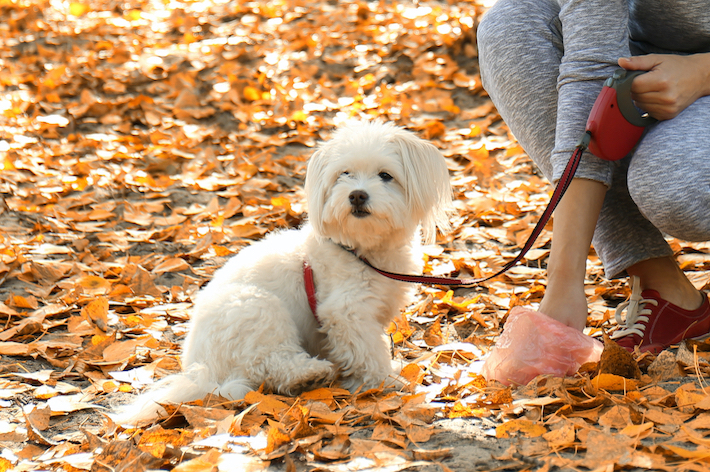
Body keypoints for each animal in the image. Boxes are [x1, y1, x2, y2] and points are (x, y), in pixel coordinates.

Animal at [114, 121, 454, 424]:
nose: (357, 194)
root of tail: (203, 371)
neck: (361, 250)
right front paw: (386, 380)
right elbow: (368, 350)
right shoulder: (346, 313)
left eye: (386, 176)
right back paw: (309, 374)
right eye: (344, 174)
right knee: (269, 363)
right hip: (256, 307)